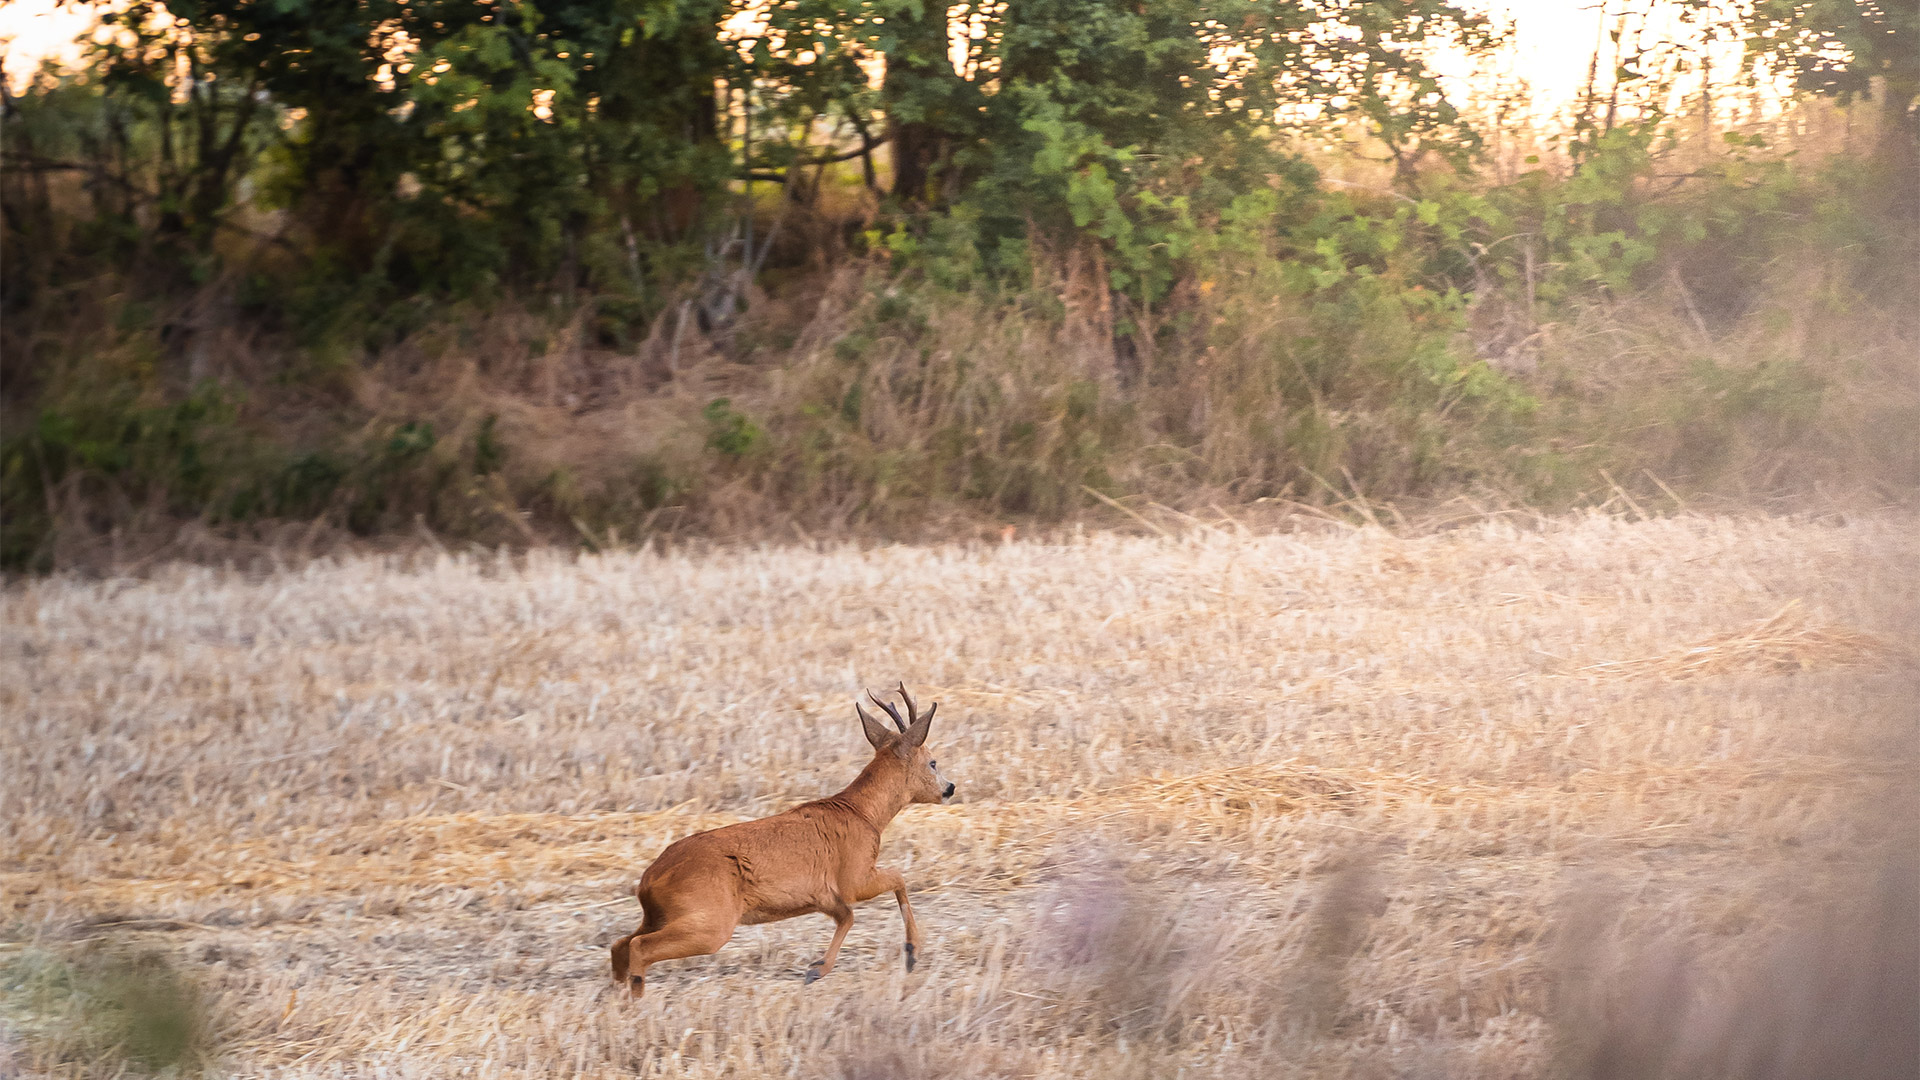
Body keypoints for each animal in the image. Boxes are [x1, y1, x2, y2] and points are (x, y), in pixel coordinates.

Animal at [609, 683, 955, 998]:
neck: (863, 814)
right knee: (638, 947)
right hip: (710, 923)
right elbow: (896, 879)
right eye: (933, 762)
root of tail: (649, 880)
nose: (949, 788)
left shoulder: (824, 895)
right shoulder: (853, 879)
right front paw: (910, 953)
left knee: (619, 945)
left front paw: (817, 968)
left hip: (662, 917)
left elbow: (847, 917)